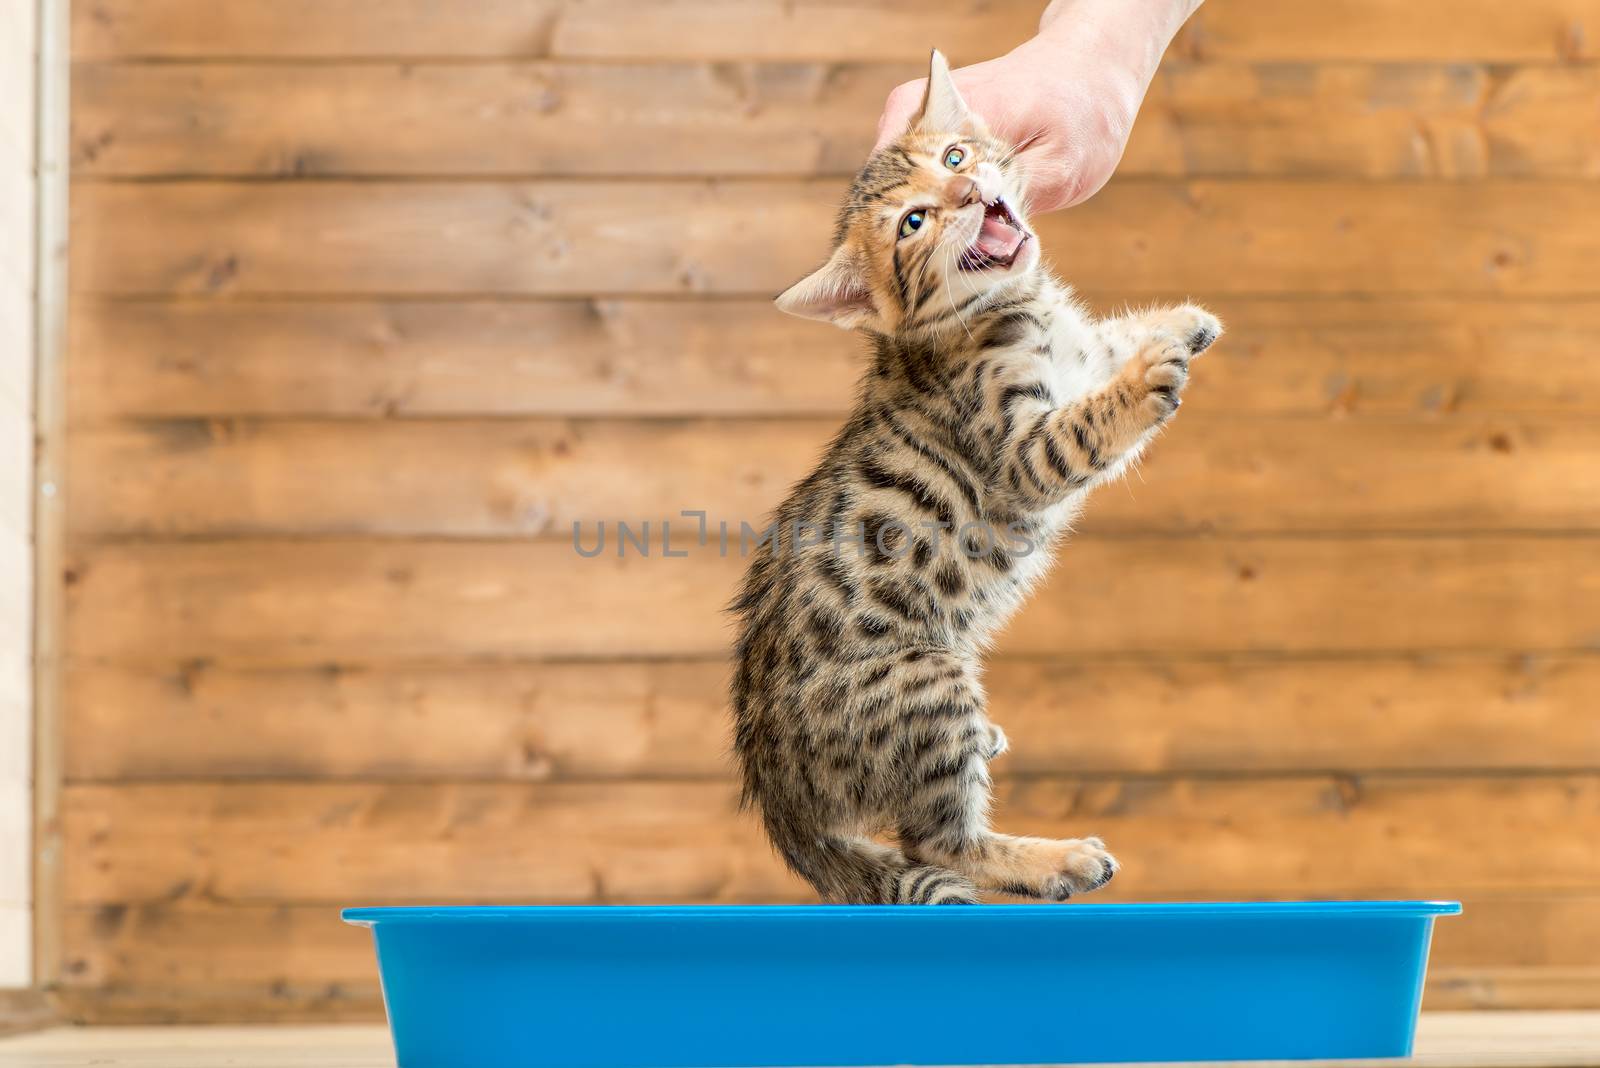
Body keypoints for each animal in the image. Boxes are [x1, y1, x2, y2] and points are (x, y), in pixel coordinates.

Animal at [732, 47, 1216, 901]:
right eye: (912, 223)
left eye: (955, 158)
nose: (965, 193)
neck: (1010, 307)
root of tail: (780, 798)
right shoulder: (1021, 453)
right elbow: (1089, 422)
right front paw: (1149, 374)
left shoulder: (1075, 353)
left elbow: (1102, 339)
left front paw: (1177, 323)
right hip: (928, 678)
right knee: (938, 841)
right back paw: (1056, 859)